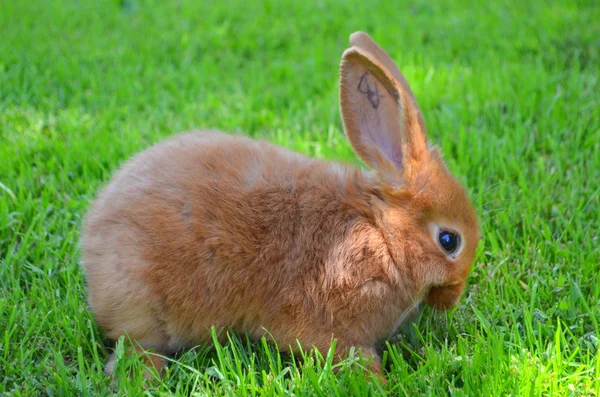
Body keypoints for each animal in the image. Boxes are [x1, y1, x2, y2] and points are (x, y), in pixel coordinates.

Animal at [82, 31, 480, 378]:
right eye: (449, 241)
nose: (453, 297)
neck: (381, 231)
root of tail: (91, 240)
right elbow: (350, 354)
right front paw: (377, 382)